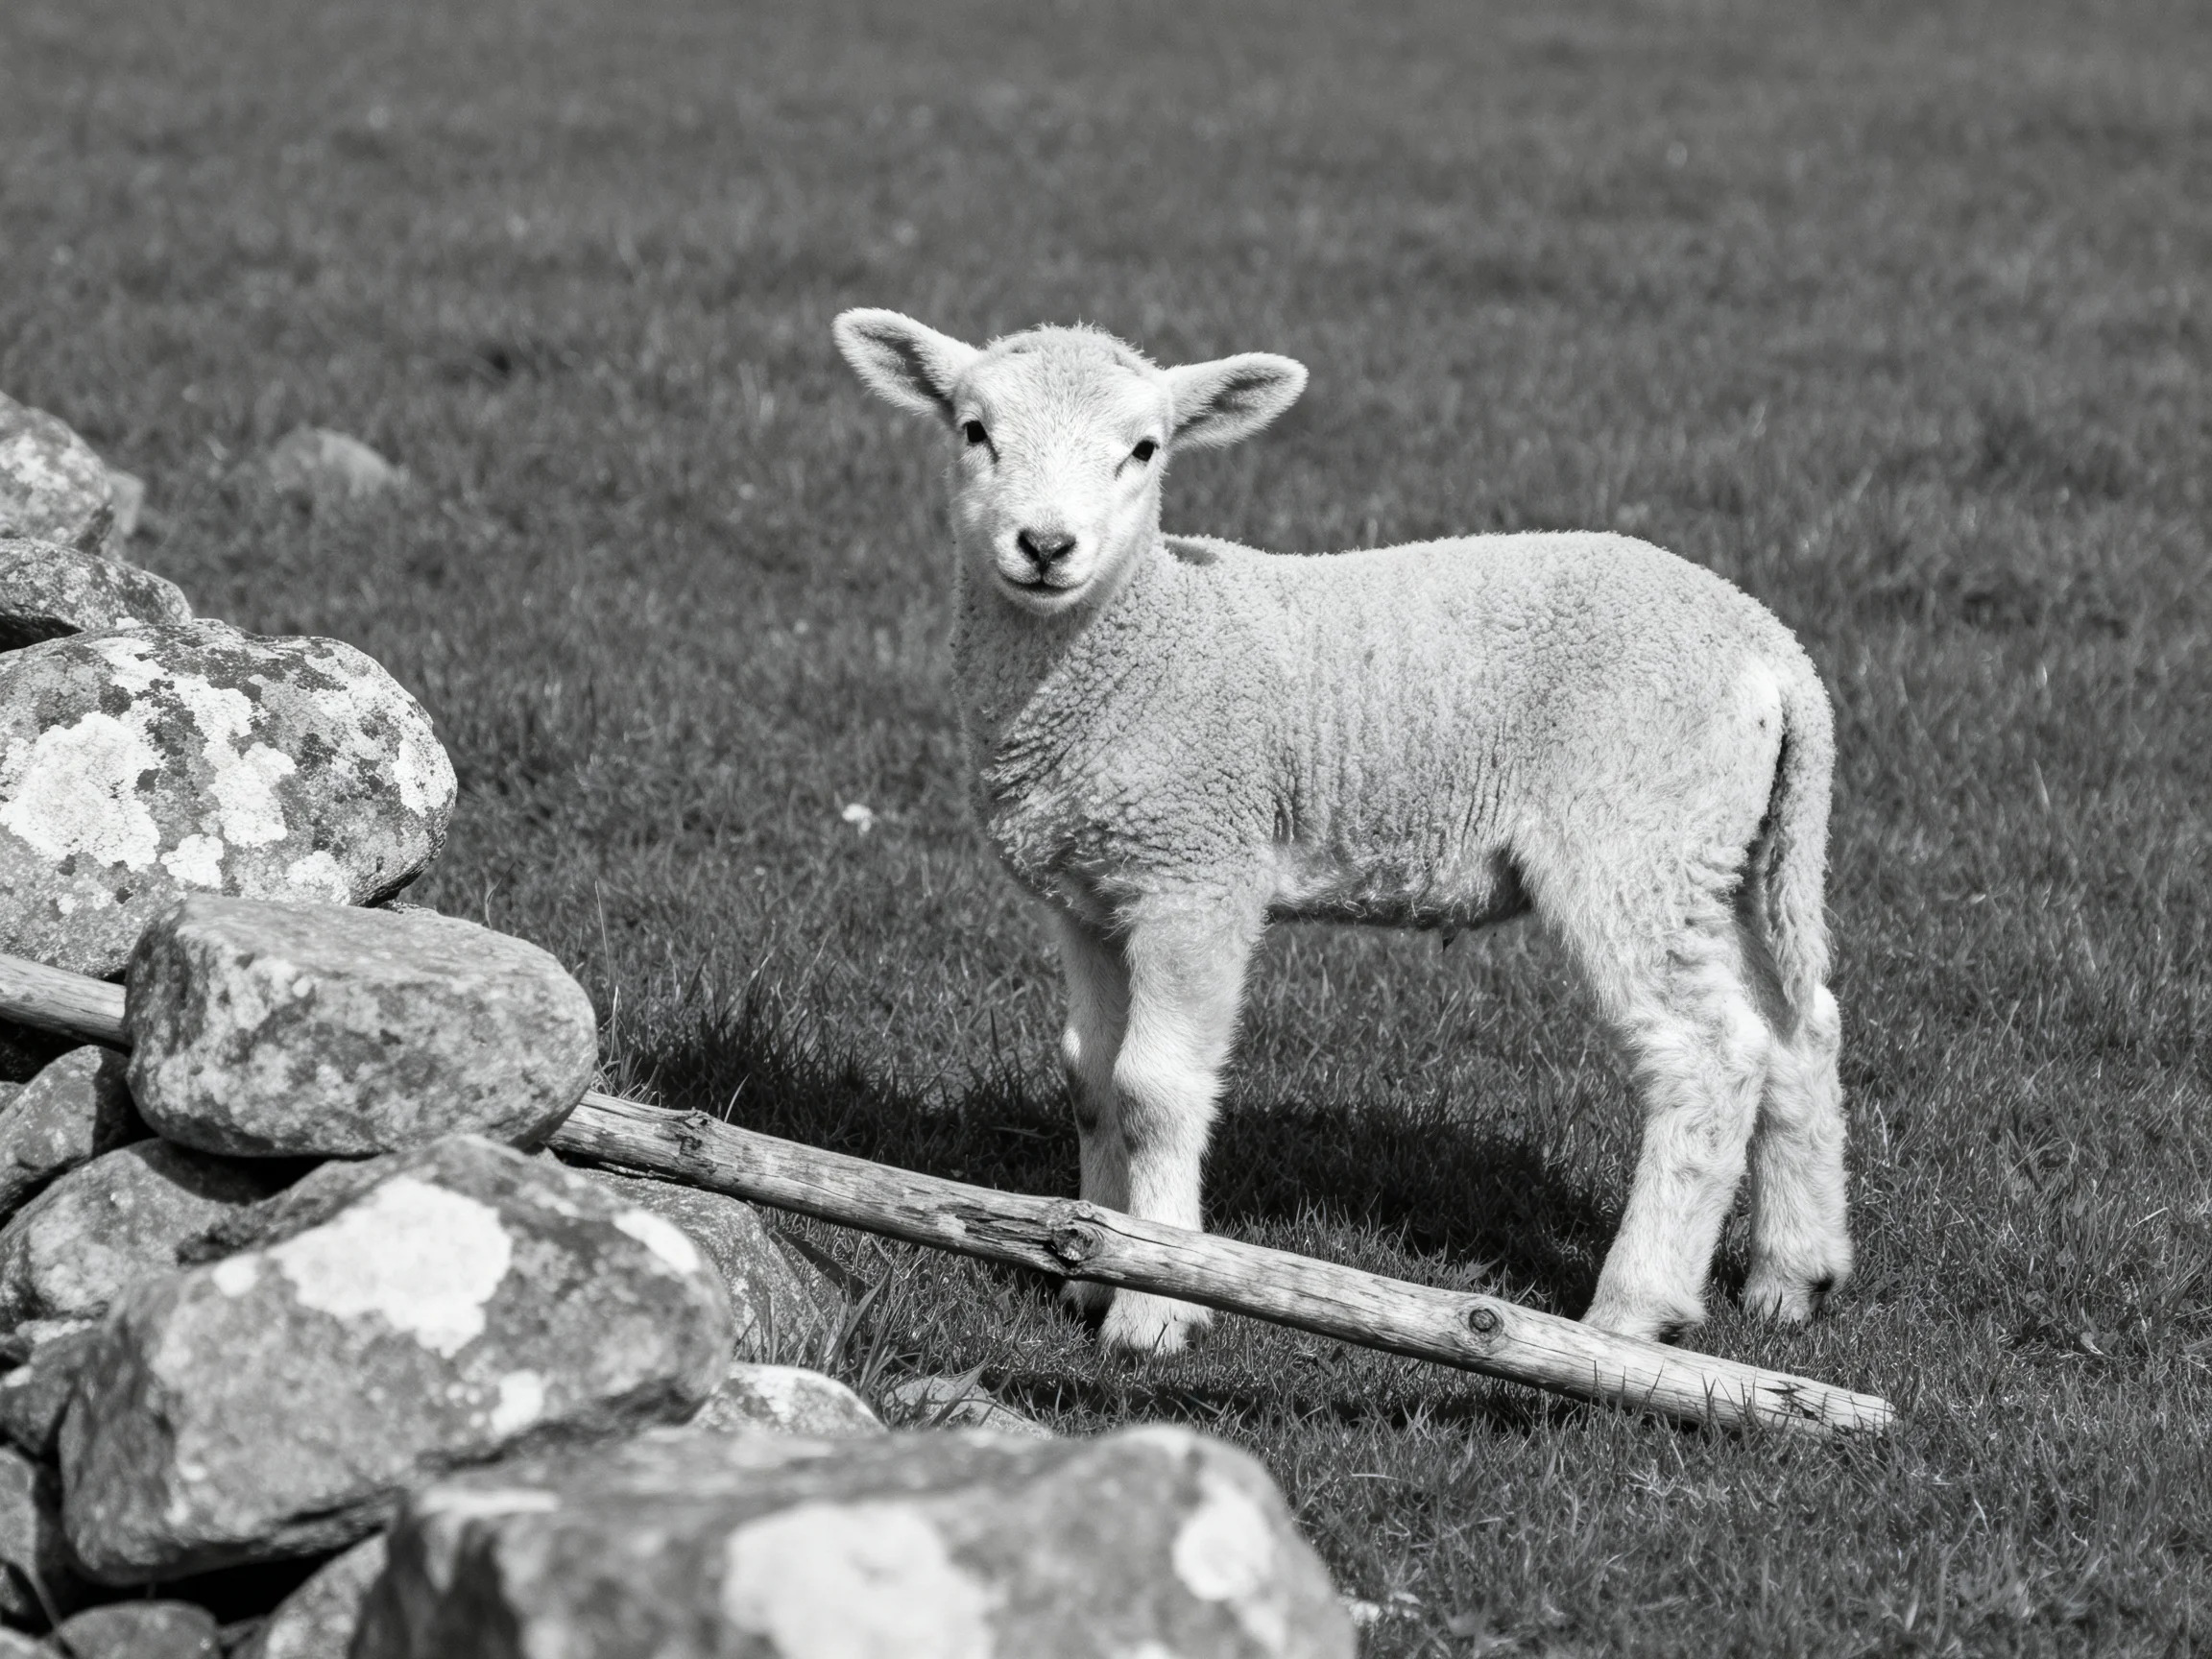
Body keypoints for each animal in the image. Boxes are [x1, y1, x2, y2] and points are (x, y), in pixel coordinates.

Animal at [833, 308, 1852, 1356]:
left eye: (1144, 449)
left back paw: (1631, 1312)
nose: (1045, 544)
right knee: (1798, 1024)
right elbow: (1090, 1079)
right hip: (1724, 847)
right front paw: (1086, 1267)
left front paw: (1154, 1306)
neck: (1139, 639)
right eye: (973, 431)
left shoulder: (1196, 868)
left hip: (1633, 833)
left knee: (1708, 1058)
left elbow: (1153, 1088)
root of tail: (1773, 651)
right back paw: (1793, 1274)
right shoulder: (1090, 893)